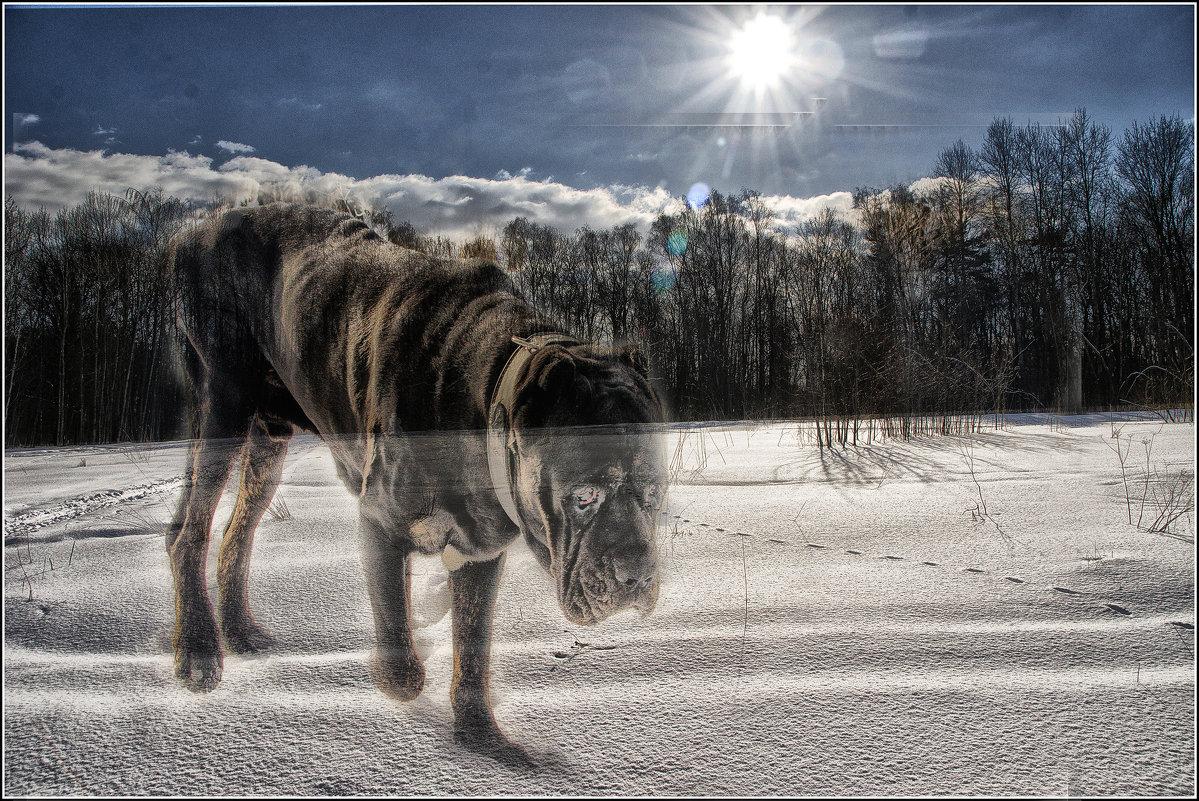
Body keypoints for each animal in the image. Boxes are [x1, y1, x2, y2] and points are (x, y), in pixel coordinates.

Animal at [166, 201, 666, 762]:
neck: (481, 398)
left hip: (267, 444)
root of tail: (194, 231)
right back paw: (198, 651)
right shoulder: (380, 523)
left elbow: (472, 650)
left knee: (238, 533)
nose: (636, 576)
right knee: (188, 532)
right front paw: (395, 676)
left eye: (655, 493)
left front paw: (480, 736)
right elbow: (400, 648)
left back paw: (239, 632)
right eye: (584, 495)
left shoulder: (480, 552)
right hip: (221, 407)